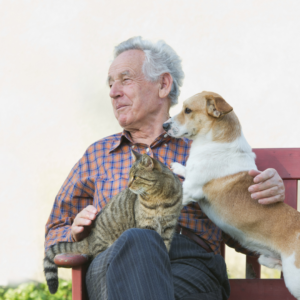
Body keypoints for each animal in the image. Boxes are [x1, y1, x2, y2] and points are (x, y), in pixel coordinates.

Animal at [43, 150, 182, 292]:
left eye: (135, 177)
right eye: (129, 176)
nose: (128, 185)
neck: (159, 198)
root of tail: (89, 238)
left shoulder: (168, 228)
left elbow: (165, 248)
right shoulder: (146, 226)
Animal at [163, 92, 300, 300]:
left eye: (187, 110)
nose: (164, 126)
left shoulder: (190, 189)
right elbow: (185, 171)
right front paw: (177, 167)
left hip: (294, 278)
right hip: (268, 259)